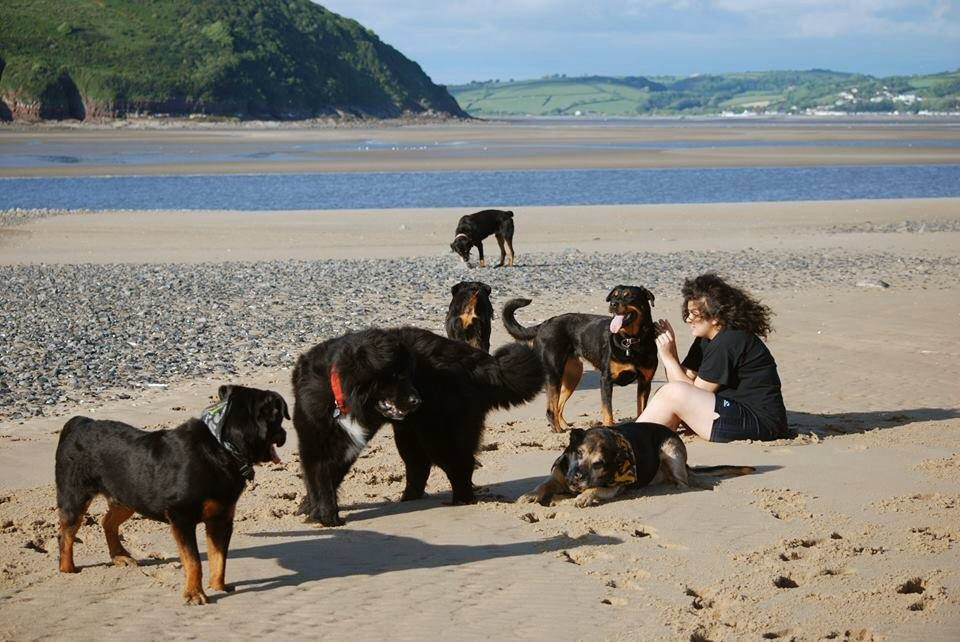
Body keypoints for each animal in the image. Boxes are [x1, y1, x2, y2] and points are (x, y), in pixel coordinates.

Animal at [55, 382, 288, 604]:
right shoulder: (182, 517)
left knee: (108, 523)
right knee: (66, 534)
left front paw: (218, 586)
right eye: (278, 419)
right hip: (75, 497)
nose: (285, 433)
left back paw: (120, 556)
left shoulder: (221, 519)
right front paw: (194, 594)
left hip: (128, 496)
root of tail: (79, 422)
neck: (224, 448)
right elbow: (194, 561)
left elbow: (219, 558)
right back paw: (68, 569)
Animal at [292, 324, 544, 524]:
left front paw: (326, 517)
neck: (338, 397)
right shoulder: (316, 444)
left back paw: (459, 501)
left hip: (437, 435)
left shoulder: (343, 447)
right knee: (419, 467)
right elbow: (319, 480)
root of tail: (479, 363)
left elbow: (325, 481)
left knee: (460, 466)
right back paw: (407, 500)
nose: (417, 400)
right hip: (409, 434)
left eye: (409, 375)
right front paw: (314, 510)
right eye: (394, 377)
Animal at [502, 284, 660, 430]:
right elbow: (607, 411)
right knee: (551, 410)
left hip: (574, 374)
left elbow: (642, 409)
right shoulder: (606, 380)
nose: (613, 304)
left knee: (558, 407)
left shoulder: (645, 382)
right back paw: (559, 431)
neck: (630, 340)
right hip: (554, 373)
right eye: (614, 296)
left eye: (629, 296)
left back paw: (566, 427)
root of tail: (543, 324)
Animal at [520, 420, 752, 504]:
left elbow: (595, 489)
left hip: (670, 449)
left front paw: (583, 497)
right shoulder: (559, 475)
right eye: (578, 452)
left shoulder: (615, 487)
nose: (576, 479)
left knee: (684, 482)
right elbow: (544, 484)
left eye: (598, 464)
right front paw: (531, 494)